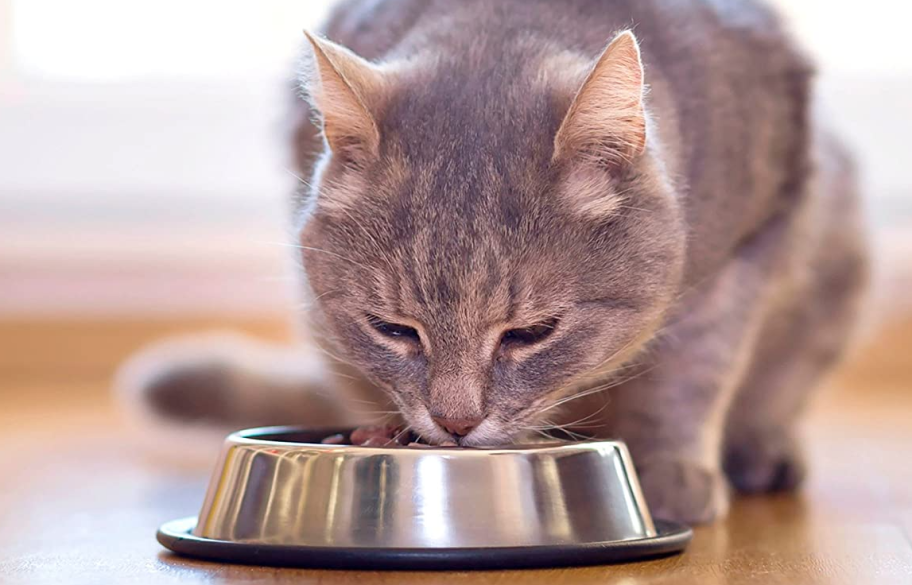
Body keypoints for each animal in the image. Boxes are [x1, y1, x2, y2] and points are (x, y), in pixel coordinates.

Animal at [117, 0, 864, 524]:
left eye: (531, 333)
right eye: (393, 329)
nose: (454, 423)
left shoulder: (753, 242)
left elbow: (696, 371)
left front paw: (671, 471)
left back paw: (761, 450)